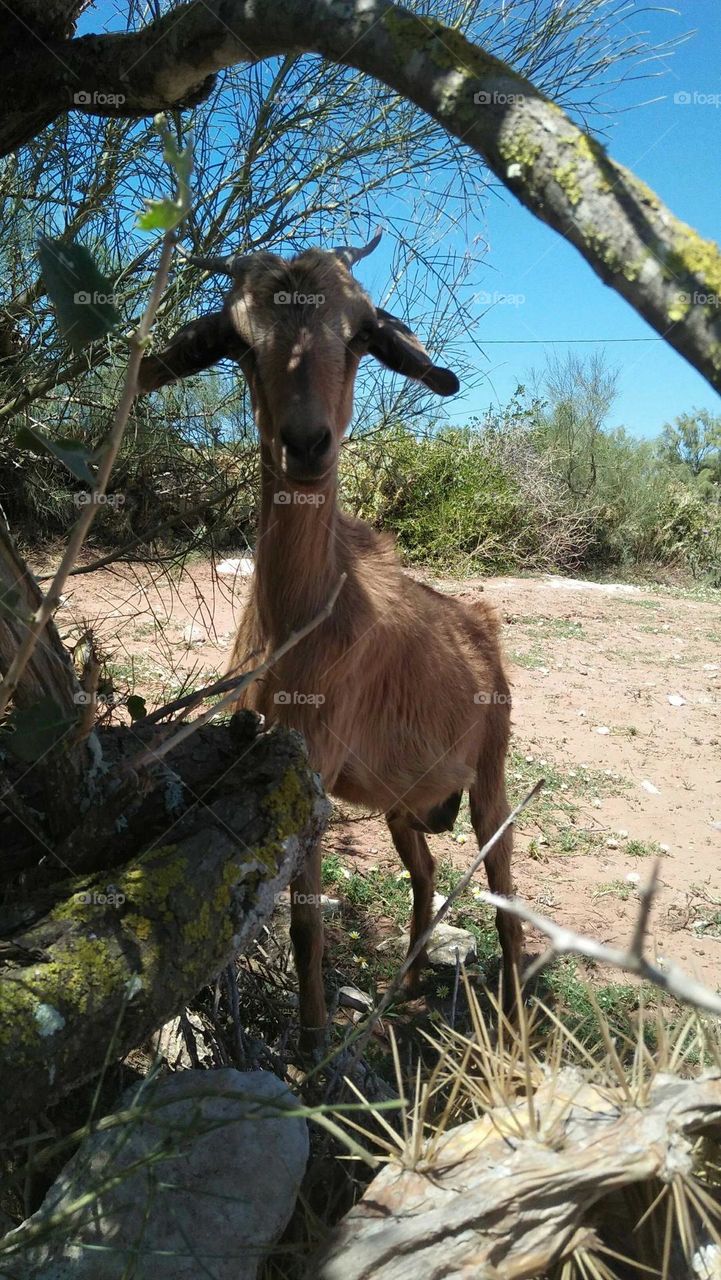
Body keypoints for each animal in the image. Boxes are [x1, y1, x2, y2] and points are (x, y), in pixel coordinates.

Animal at [139, 238, 525, 1049]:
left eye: (360, 335)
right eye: (239, 342)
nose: (307, 444)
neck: (301, 620)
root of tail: (481, 628)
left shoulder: (311, 769)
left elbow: (304, 926)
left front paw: (314, 1046)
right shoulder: (256, 754)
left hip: (490, 778)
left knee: (504, 889)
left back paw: (511, 1020)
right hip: (405, 802)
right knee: (425, 875)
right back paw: (404, 983)